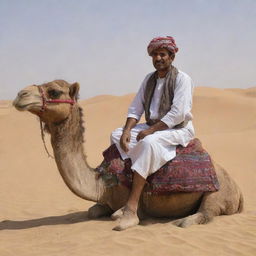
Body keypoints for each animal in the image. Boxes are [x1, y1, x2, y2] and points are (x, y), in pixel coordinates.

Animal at [13, 79, 244, 230]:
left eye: (54, 92)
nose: (20, 95)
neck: (102, 182)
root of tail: (238, 188)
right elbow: (92, 211)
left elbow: (117, 215)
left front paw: (129, 219)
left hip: (218, 192)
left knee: (207, 212)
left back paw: (184, 220)